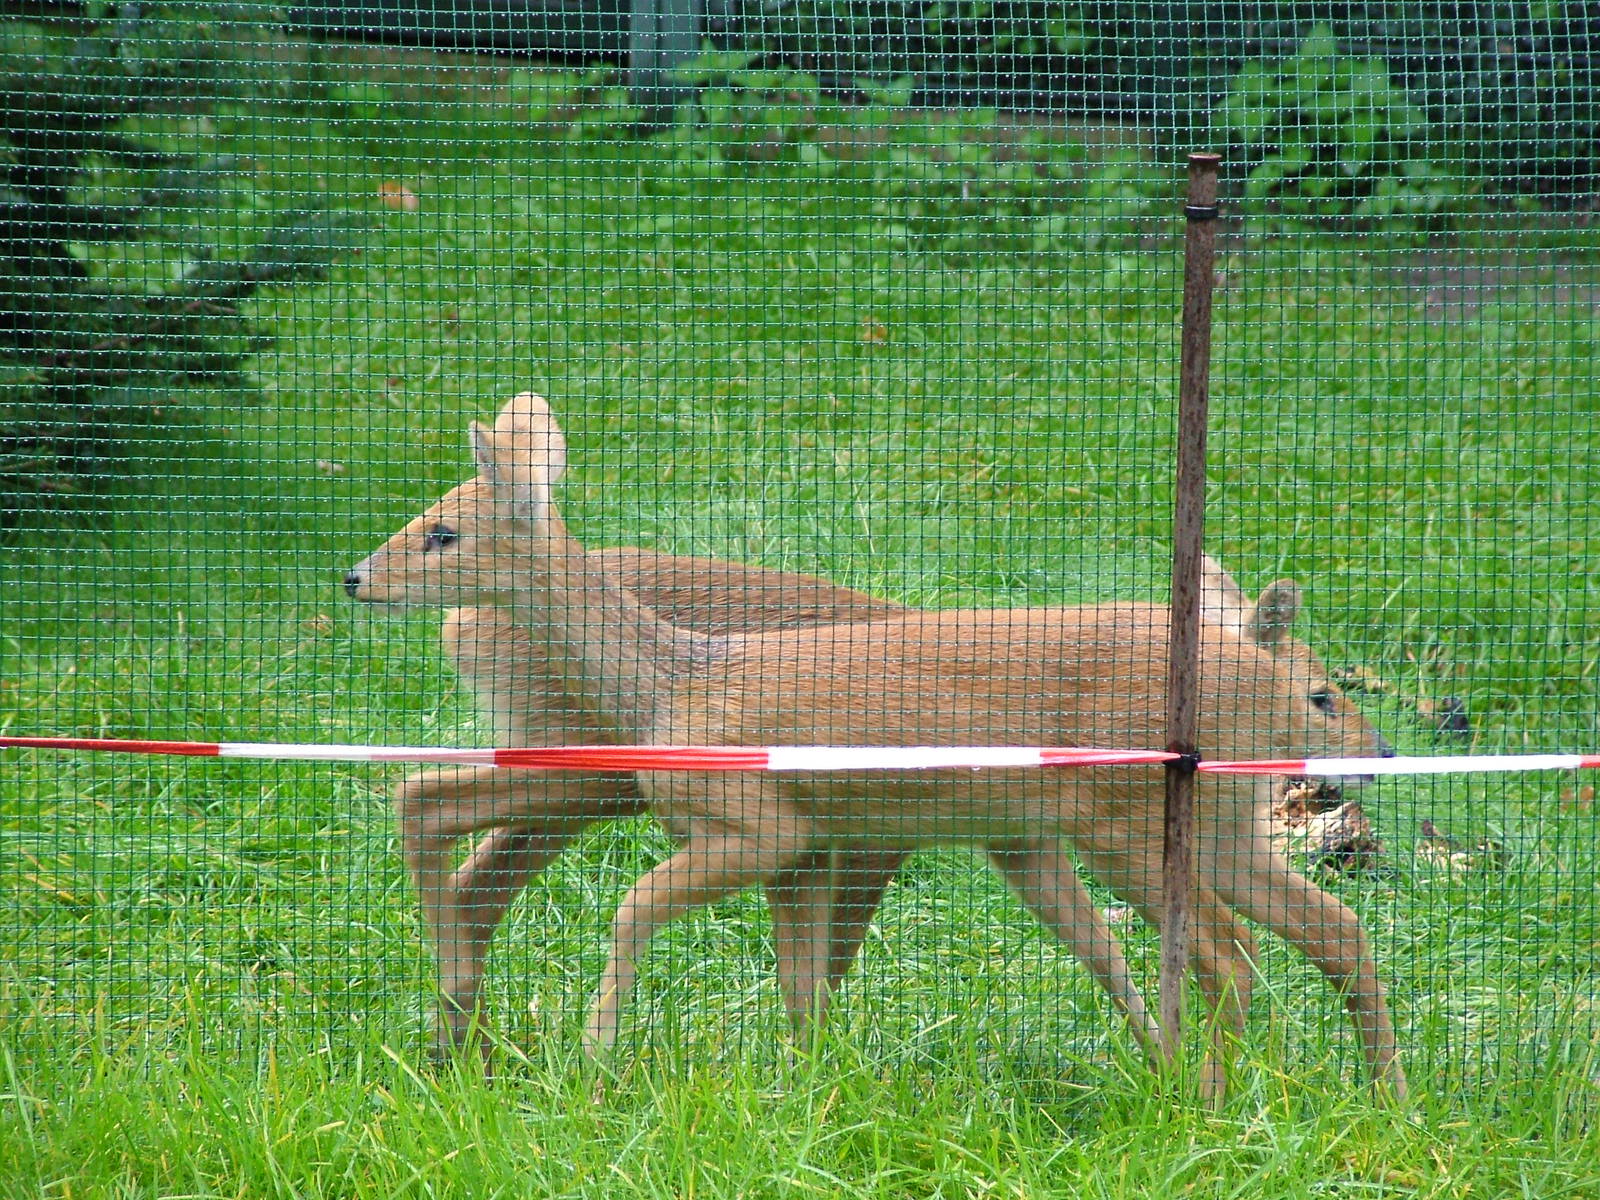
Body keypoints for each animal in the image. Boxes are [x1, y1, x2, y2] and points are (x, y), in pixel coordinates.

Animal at [345, 392, 1407, 1102]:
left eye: (443, 531)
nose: (355, 577)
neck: (671, 683)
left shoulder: (762, 826)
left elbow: (638, 908)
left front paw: (599, 1062)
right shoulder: (816, 848)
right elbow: (803, 986)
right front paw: (804, 1096)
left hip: (1133, 824)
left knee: (1230, 958)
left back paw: (1208, 1099)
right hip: (1211, 828)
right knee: (1330, 934)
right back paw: (1371, 1100)